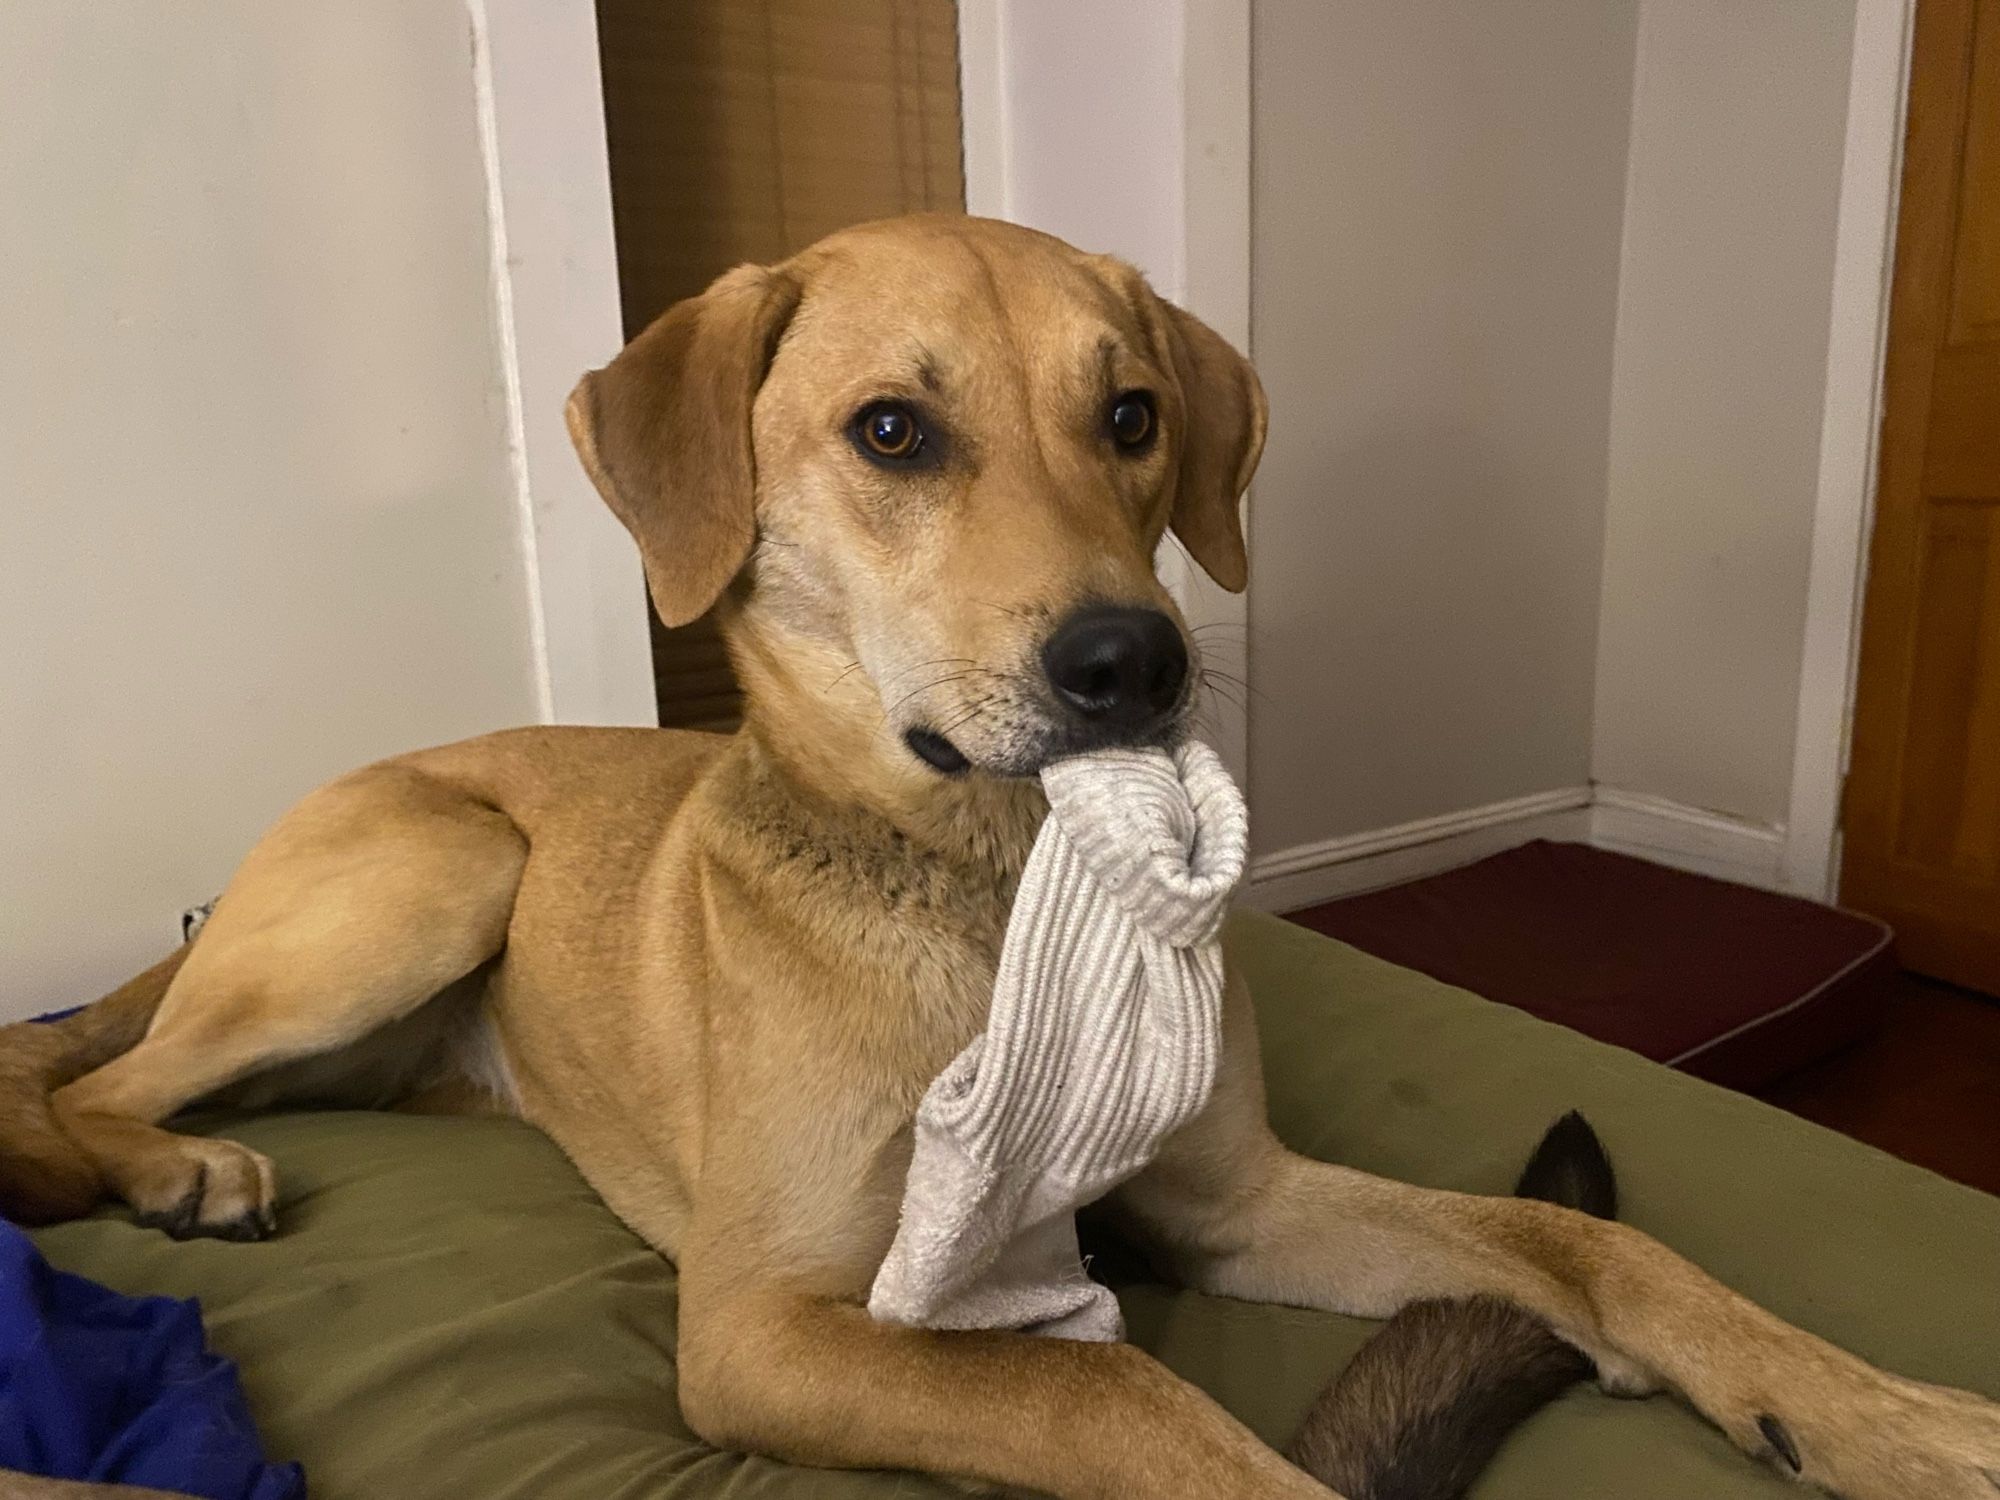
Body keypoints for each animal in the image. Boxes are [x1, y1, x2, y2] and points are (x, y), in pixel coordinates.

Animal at [3, 214, 2000, 1500]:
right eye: (892, 429)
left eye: (1135, 418)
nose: (1136, 665)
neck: (1002, 891)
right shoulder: (768, 1329)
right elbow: (1120, 1408)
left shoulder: (1240, 1198)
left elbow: (1593, 1250)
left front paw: (1879, 1414)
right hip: (431, 871)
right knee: (90, 1080)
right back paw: (173, 1172)